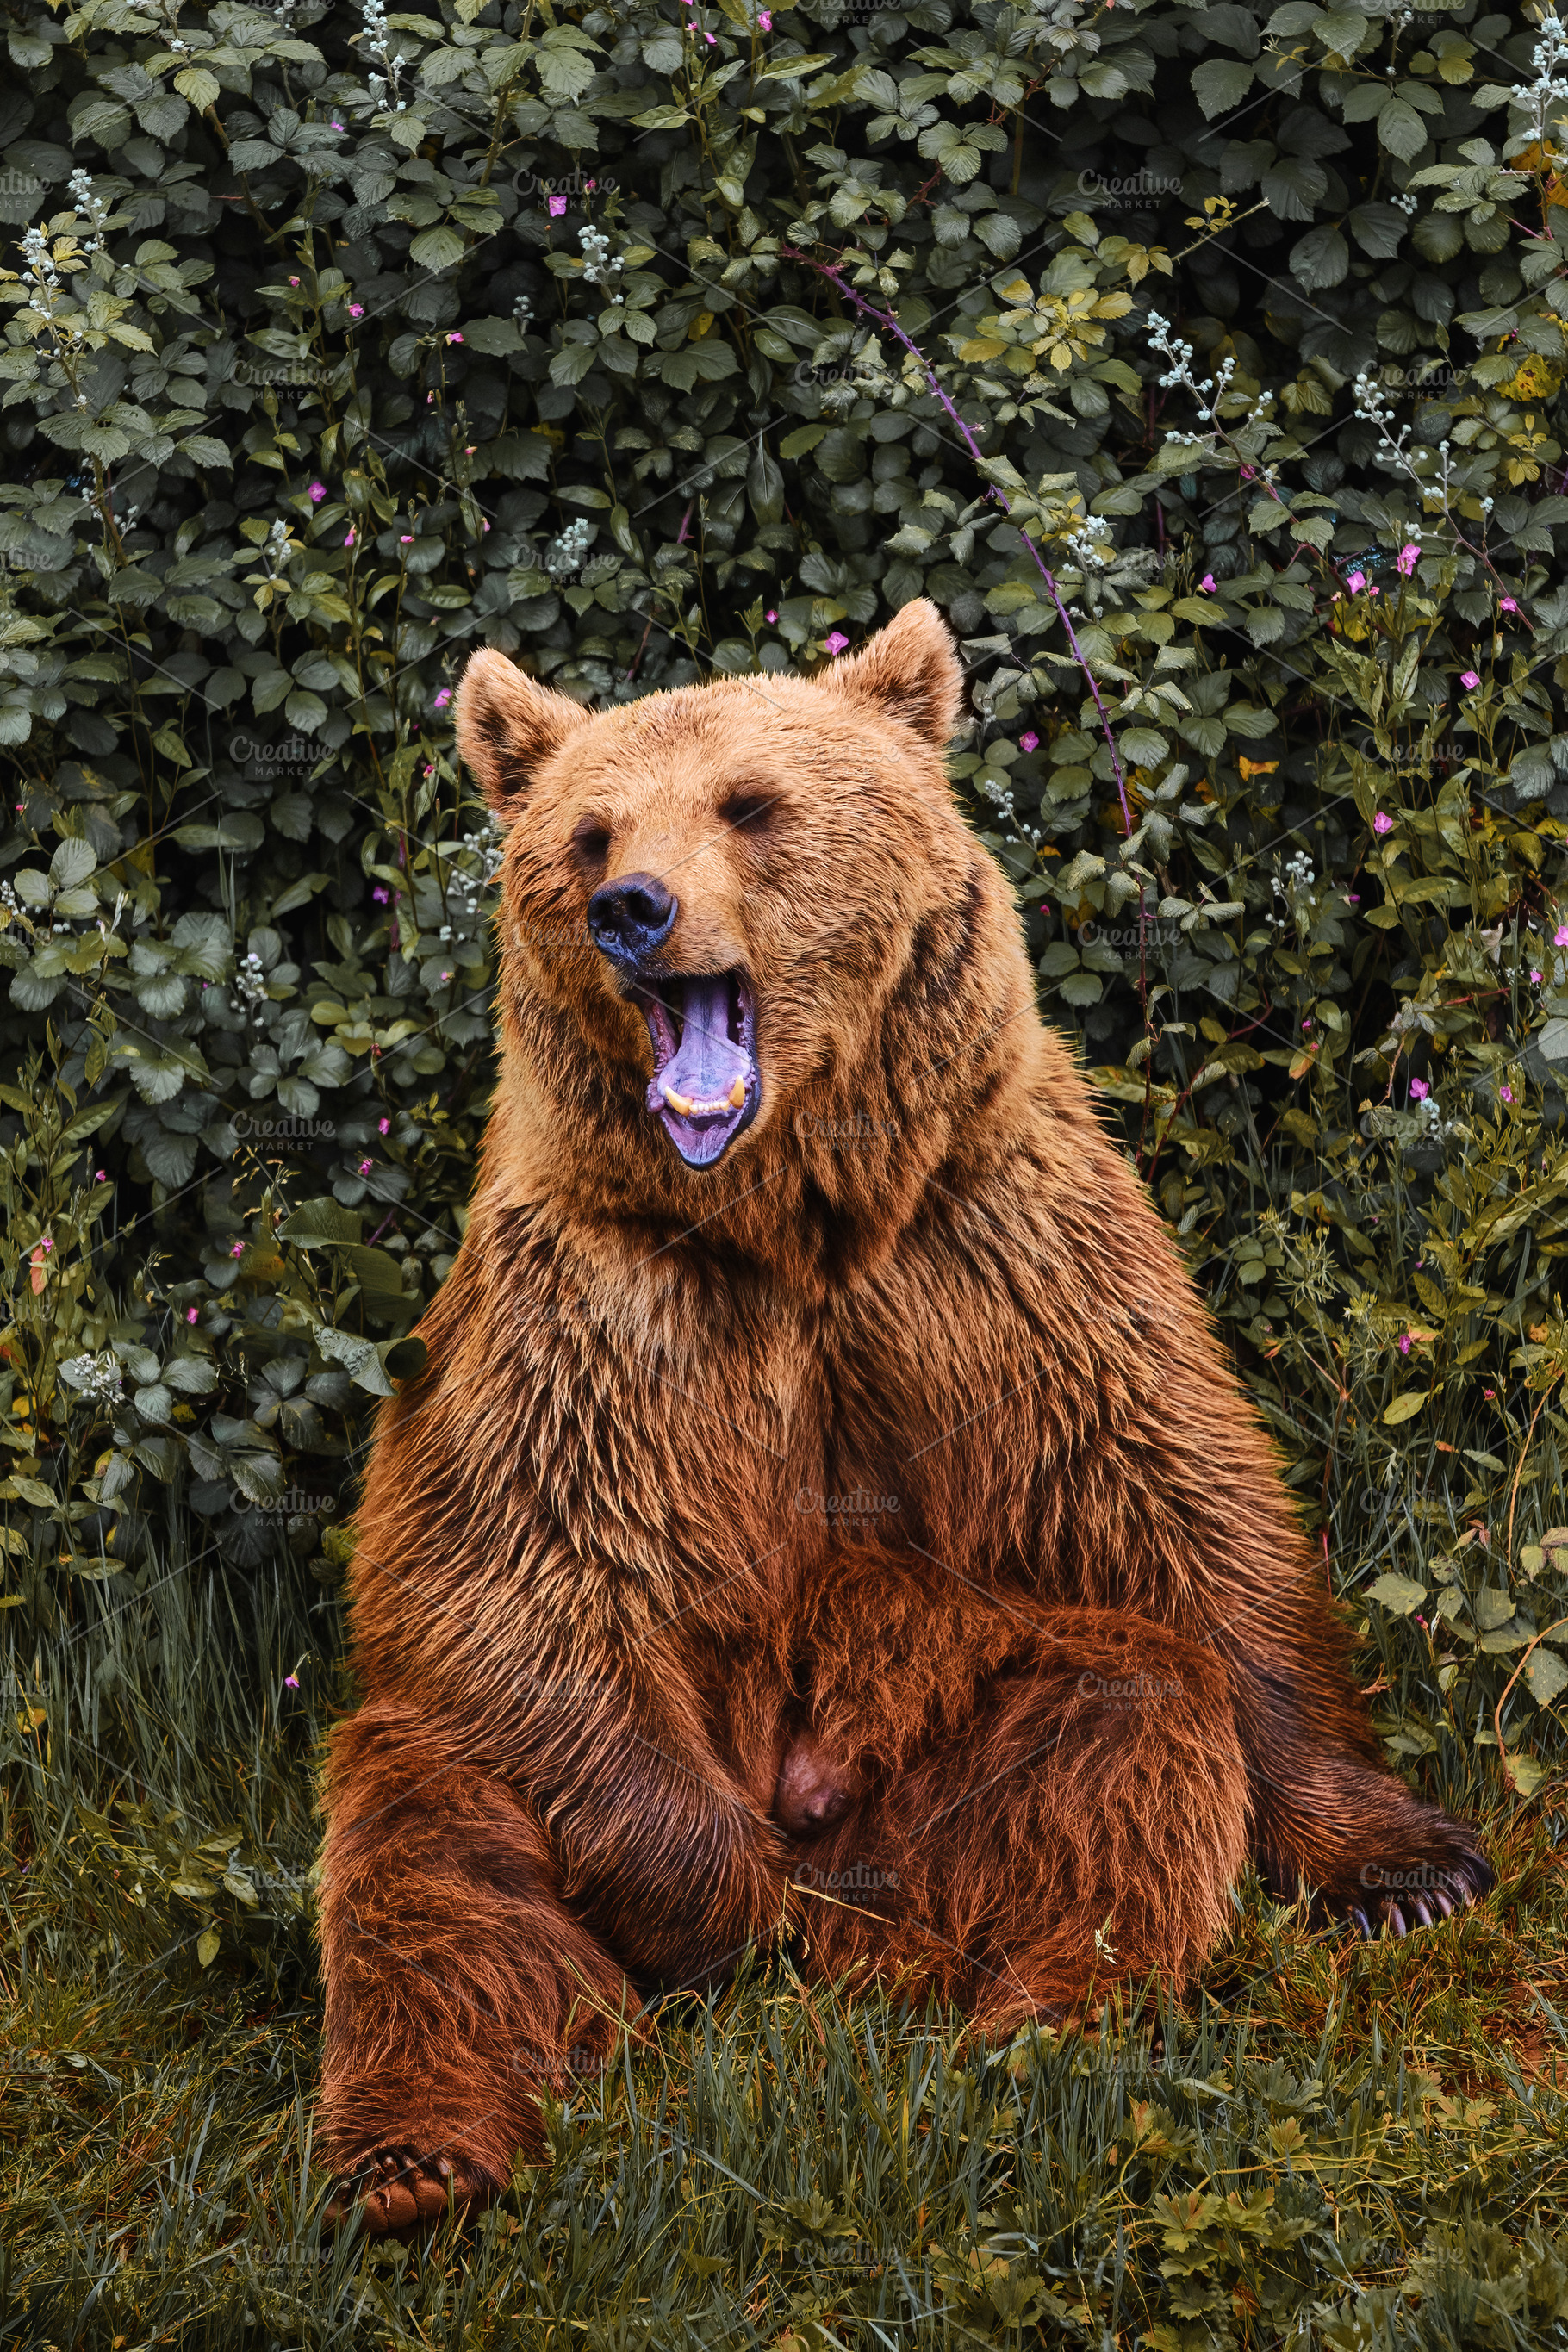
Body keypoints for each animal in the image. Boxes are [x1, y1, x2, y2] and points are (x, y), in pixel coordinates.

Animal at [318, 600, 1491, 2237]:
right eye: (590, 828)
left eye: (751, 803)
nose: (630, 906)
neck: (794, 1219)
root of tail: (869, 1935)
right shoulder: (588, 1316)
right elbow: (513, 1575)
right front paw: (714, 1899)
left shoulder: (991, 1252)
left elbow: (1180, 1498)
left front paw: (1409, 1865)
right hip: (499, 1771)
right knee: (432, 1851)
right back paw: (421, 2154)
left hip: (947, 1762)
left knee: (1129, 1727)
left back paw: (1052, 2010)